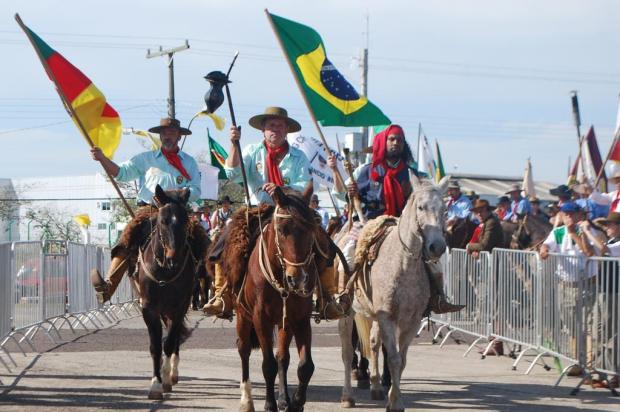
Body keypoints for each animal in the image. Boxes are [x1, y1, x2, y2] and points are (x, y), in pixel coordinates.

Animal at [235, 183, 324, 412]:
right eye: (282, 230)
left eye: (311, 228)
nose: (297, 278)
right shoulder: (260, 319)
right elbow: (268, 365)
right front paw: (269, 404)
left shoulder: (300, 319)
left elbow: (305, 366)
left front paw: (296, 402)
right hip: (243, 315)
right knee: (244, 350)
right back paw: (246, 400)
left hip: (285, 322)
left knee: (283, 357)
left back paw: (284, 399)